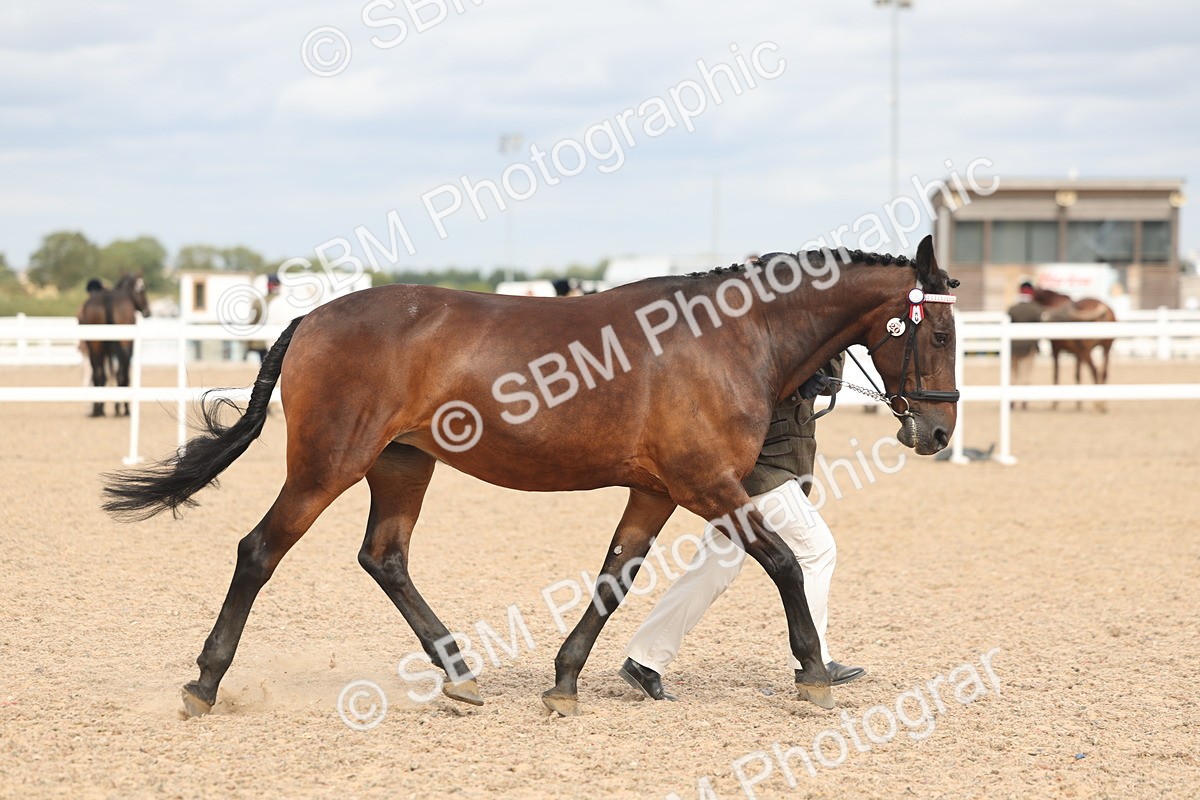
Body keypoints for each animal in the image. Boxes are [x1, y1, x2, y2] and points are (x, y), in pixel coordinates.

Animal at [78, 274, 151, 417]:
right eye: (142, 289)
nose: (147, 311)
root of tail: (108, 298)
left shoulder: (106, 350)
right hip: (122, 344)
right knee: (120, 373)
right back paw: (122, 409)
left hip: (96, 345)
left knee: (99, 374)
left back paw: (98, 410)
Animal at [102, 235, 960, 719]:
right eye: (939, 333)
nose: (939, 433)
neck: (731, 337)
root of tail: (313, 316)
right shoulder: (706, 484)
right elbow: (782, 564)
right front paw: (813, 674)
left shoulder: (656, 490)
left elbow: (616, 578)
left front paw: (566, 681)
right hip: (328, 463)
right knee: (259, 552)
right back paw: (205, 684)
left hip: (403, 462)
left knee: (384, 557)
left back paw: (459, 675)